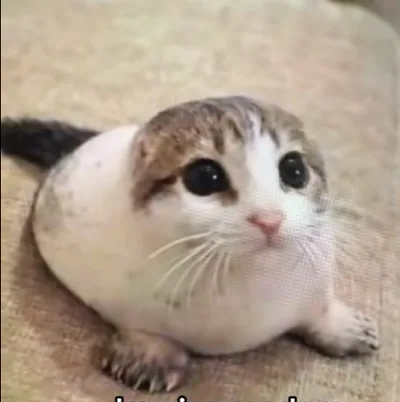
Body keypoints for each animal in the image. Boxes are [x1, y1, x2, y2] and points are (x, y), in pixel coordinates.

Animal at [0, 96, 379, 393]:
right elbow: (144, 331)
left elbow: (318, 309)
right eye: (204, 177)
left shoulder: (314, 283)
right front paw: (147, 360)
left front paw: (346, 329)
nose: (269, 218)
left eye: (294, 170)